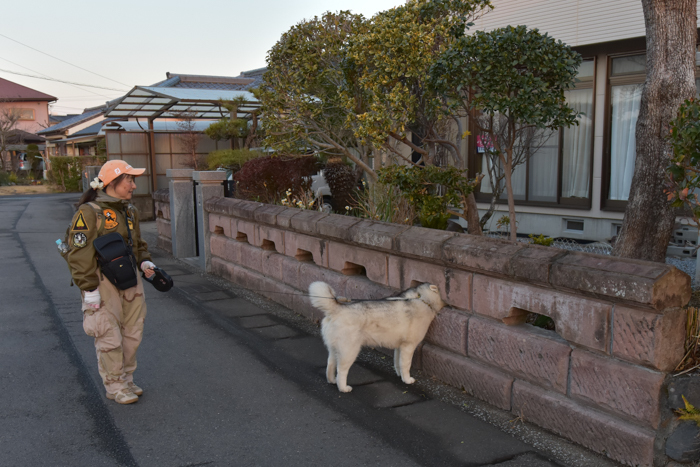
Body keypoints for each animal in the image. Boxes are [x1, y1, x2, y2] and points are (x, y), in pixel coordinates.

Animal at [308, 284, 446, 394]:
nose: (446, 303)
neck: (421, 298)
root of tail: (337, 309)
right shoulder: (408, 346)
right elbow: (406, 365)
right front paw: (407, 380)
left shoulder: (399, 347)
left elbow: (398, 363)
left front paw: (400, 375)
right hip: (349, 352)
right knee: (341, 371)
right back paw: (343, 388)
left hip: (334, 349)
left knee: (330, 364)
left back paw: (331, 380)